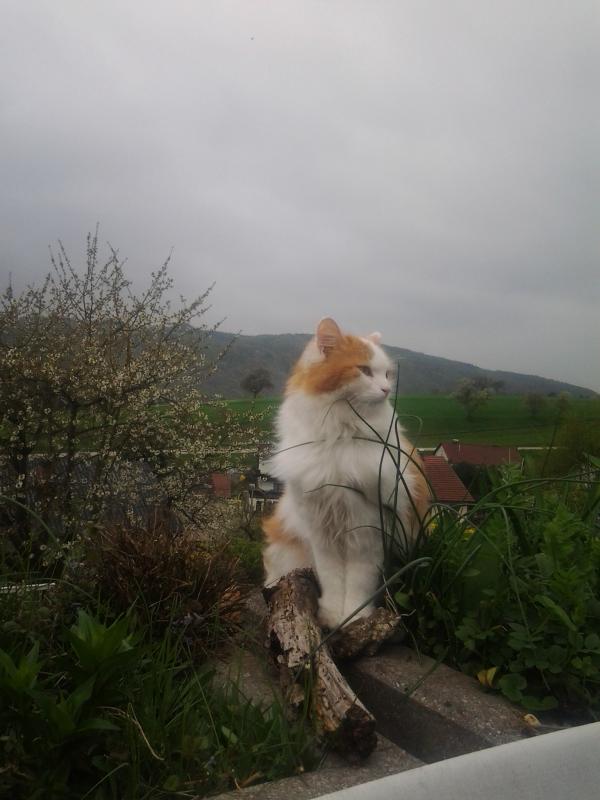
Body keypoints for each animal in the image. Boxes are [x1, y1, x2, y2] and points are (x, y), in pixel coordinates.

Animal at [262, 317, 430, 629]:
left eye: (387, 374)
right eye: (364, 371)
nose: (386, 389)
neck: (340, 440)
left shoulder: (368, 530)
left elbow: (358, 584)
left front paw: (354, 617)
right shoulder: (321, 532)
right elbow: (332, 580)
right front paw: (331, 615)